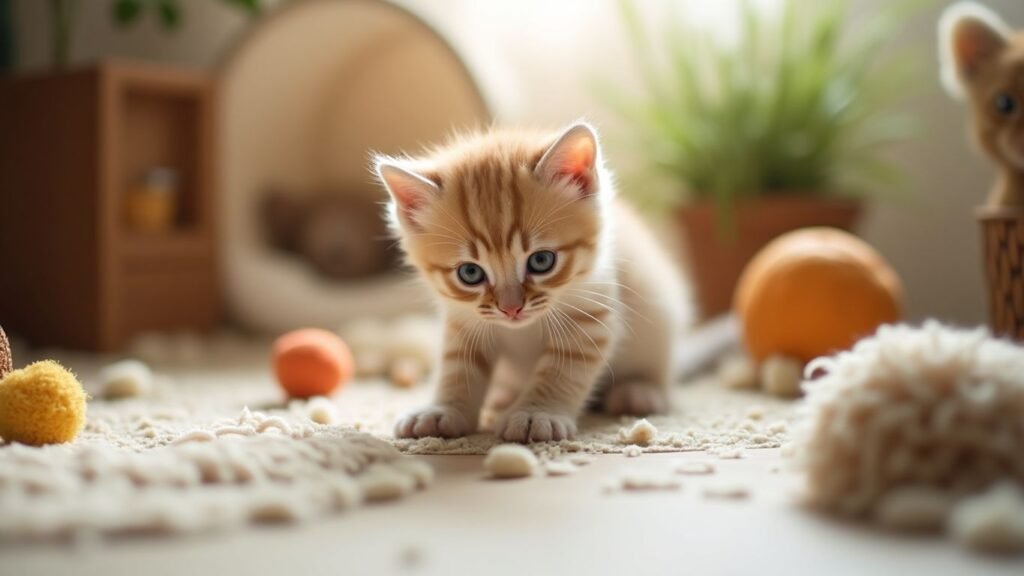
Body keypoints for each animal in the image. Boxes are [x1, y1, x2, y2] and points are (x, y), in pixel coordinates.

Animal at [372, 121, 692, 438]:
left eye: (541, 261)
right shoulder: (464, 321)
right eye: (470, 273)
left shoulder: (592, 314)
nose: (511, 309)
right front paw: (441, 410)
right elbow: (458, 367)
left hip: (660, 323)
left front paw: (536, 414)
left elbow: (561, 370)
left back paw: (639, 390)